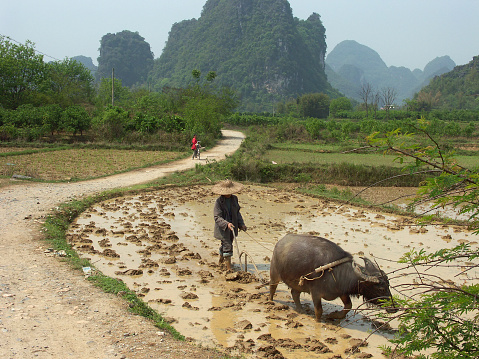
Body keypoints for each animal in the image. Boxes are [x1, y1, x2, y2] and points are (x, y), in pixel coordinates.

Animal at [270, 235, 398, 322]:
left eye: (388, 286)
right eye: (381, 289)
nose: (394, 308)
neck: (337, 272)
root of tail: (280, 242)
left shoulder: (342, 291)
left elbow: (349, 306)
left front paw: (333, 315)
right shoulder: (316, 293)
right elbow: (319, 311)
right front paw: (318, 322)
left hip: (299, 283)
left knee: (294, 293)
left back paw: (300, 309)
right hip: (274, 273)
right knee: (273, 287)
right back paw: (270, 302)